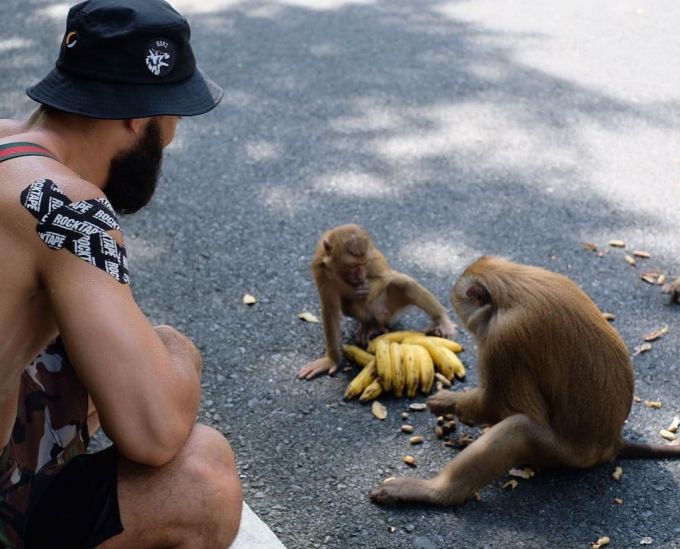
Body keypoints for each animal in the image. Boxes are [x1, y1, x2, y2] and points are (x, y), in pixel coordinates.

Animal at [298, 225, 454, 378]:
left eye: (364, 263)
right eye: (352, 266)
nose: (361, 277)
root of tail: (384, 316)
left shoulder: (372, 258)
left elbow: (386, 276)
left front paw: (369, 288)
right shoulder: (320, 268)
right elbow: (329, 309)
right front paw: (331, 360)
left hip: (392, 306)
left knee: (405, 284)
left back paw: (441, 319)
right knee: (349, 304)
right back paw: (369, 325)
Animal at [370, 256, 680, 506]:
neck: (511, 284)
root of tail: (611, 443)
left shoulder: (502, 340)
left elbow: (500, 407)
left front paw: (448, 402)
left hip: (562, 454)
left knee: (519, 430)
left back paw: (436, 492)